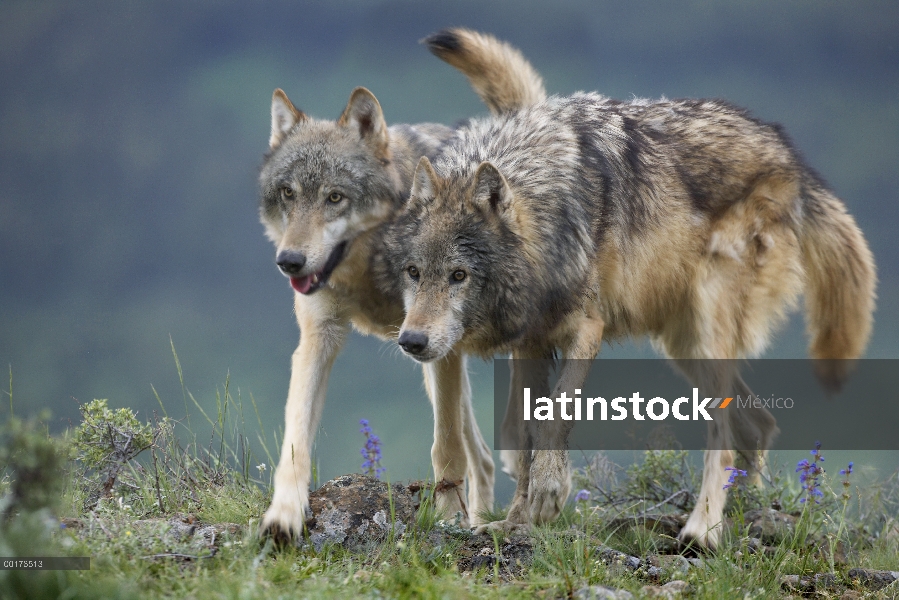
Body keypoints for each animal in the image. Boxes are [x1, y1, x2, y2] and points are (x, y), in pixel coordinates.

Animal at [256, 29, 544, 544]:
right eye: (288, 194)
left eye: (335, 197)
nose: (289, 262)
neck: (372, 274)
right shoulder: (319, 337)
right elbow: (295, 441)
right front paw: (284, 515)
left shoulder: (439, 345)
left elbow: (444, 445)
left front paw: (447, 517)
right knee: (481, 456)